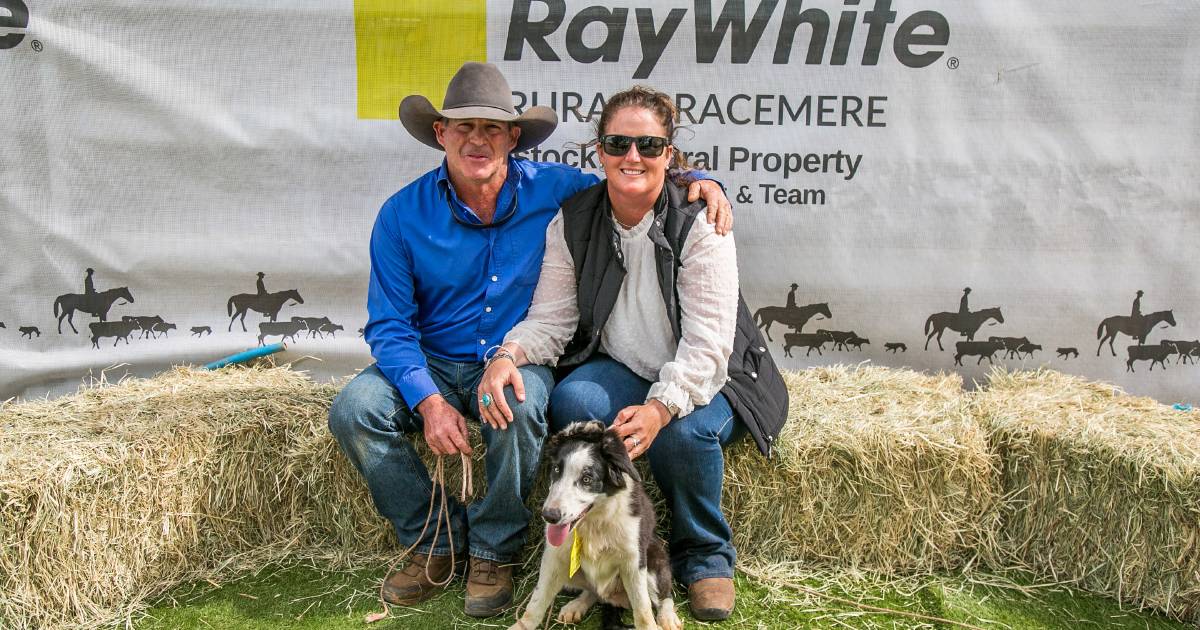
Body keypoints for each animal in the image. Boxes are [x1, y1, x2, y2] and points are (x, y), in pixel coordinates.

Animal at [508, 417, 686, 628]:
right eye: (557, 470)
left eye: (587, 479)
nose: (549, 515)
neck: (594, 521)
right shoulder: (554, 557)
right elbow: (536, 602)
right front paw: (520, 626)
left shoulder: (633, 561)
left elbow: (643, 609)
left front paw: (652, 624)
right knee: (595, 593)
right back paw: (576, 606)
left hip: (654, 559)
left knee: (664, 595)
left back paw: (668, 617)